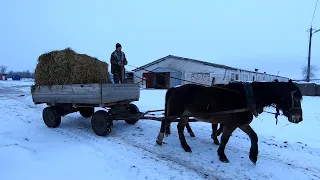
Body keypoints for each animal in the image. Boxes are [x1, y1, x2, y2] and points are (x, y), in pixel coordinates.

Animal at [156, 80, 304, 165]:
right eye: (295, 97)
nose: (299, 118)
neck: (246, 97)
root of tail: (175, 88)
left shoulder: (241, 123)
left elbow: (254, 136)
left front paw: (253, 156)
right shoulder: (231, 124)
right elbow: (225, 139)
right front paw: (222, 155)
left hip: (185, 115)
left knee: (180, 127)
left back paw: (185, 146)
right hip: (176, 112)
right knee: (165, 122)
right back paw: (159, 140)